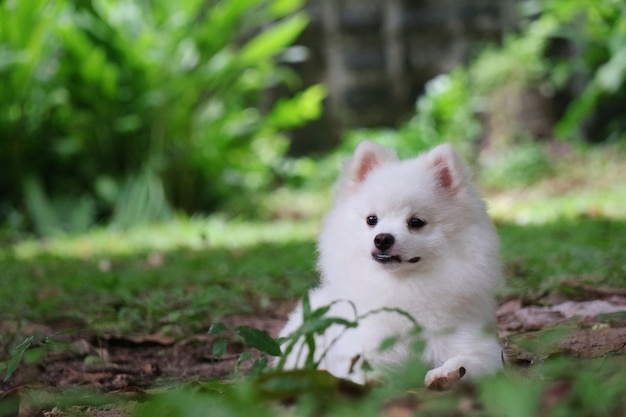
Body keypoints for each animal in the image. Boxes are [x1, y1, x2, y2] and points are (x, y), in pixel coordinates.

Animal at [278, 141, 502, 386]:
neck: (402, 286)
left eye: (416, 222)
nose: (383, 238)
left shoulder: (475, 343)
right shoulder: (364, 341)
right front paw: (371, 378)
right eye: (372, 220)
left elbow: (470, 360)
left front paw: (448, 374)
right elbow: (358, 364)